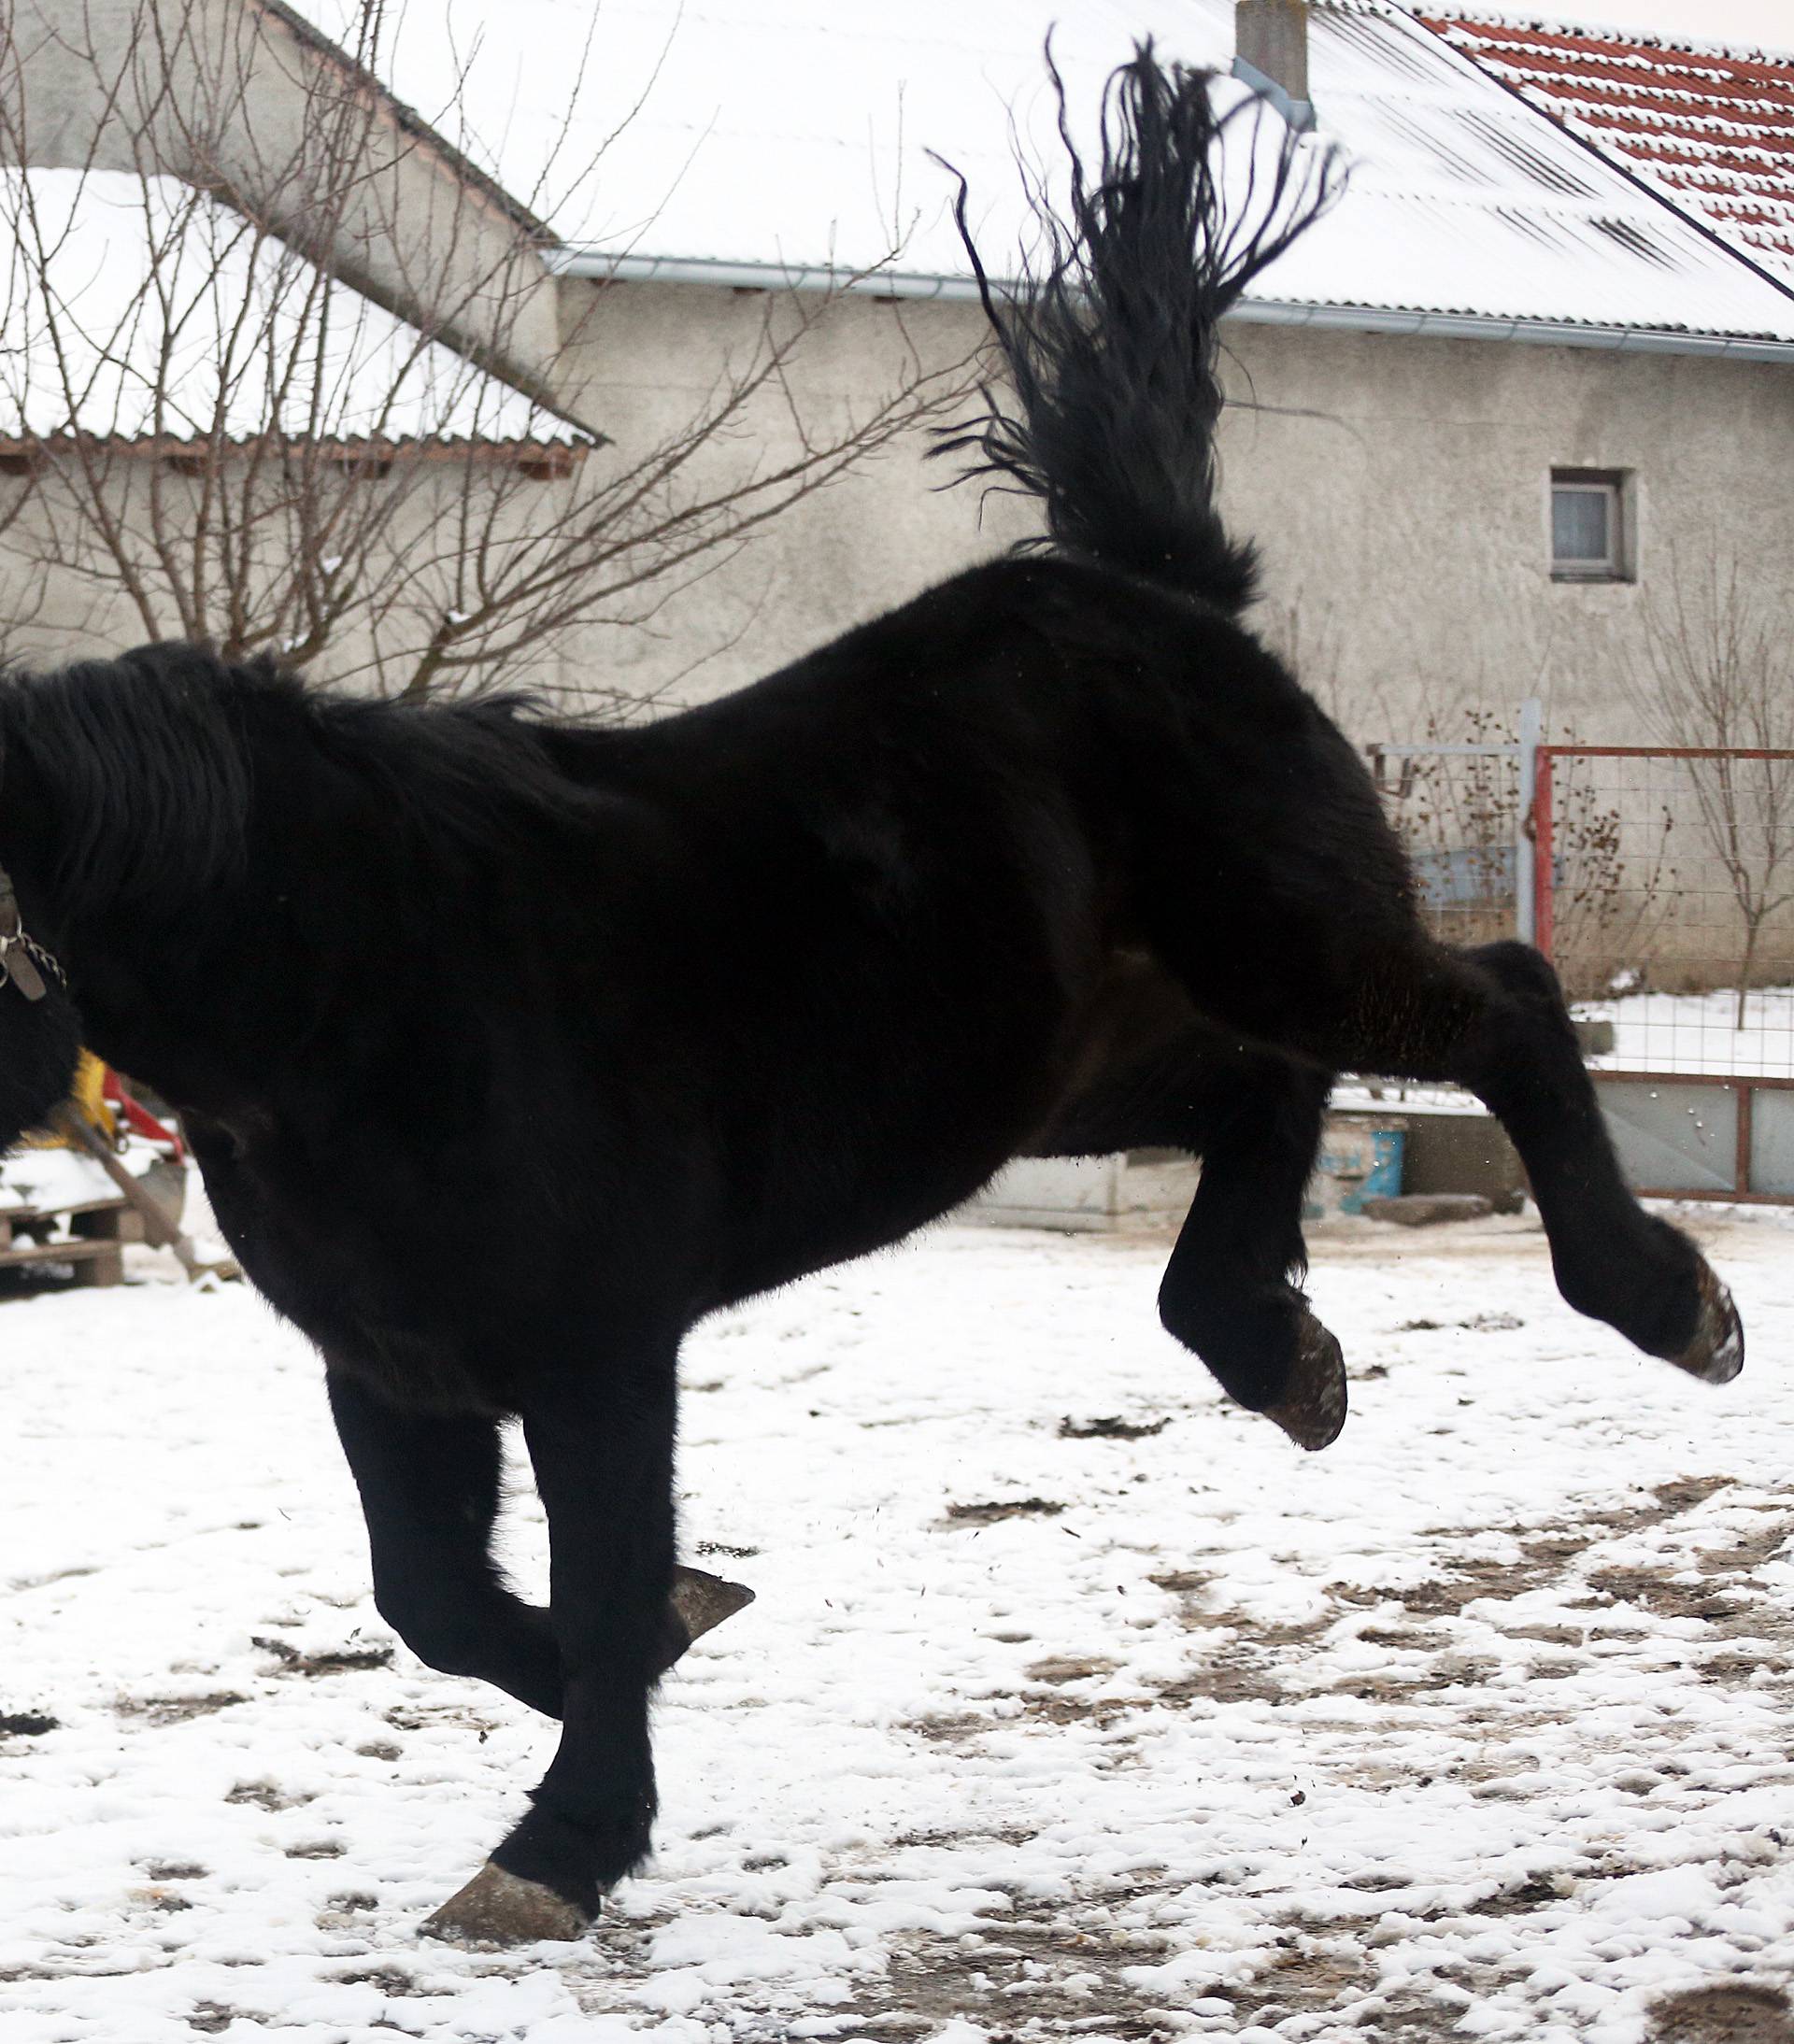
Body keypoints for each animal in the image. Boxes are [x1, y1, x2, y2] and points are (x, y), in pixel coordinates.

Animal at [0, 44, 1741, 1929]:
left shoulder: (597, 1349)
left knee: (1504, 1006)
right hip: (1074, 1068)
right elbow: (439, 1598)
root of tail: (1163, 590)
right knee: (1263, 1102)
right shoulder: (395, 1361)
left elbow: (591, 1590)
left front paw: (568, 1838)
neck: (356, 991)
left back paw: (1671, 1305)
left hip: (1289, 947)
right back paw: (1285, 1358)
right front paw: (650, 1689)